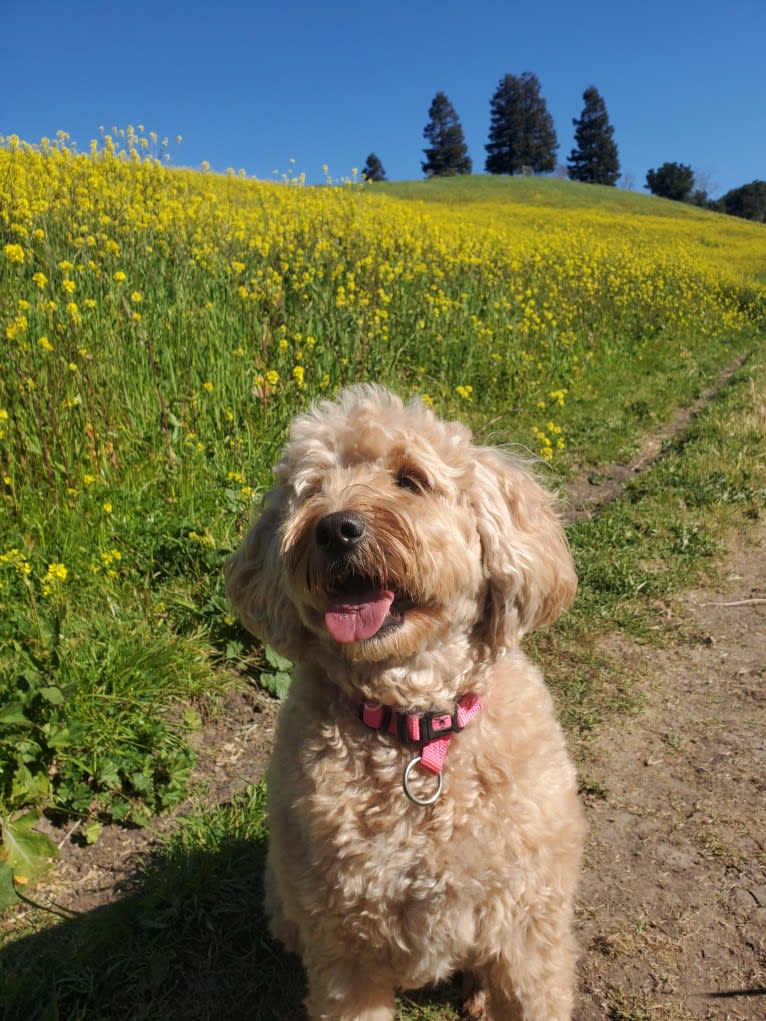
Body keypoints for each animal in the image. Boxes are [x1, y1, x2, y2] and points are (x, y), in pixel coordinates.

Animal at [224, 383, 584, 1021]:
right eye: (311, 491)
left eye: (410, 480)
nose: (335, 528)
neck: (414, 727)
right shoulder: (344, 954)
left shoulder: (530, 931)